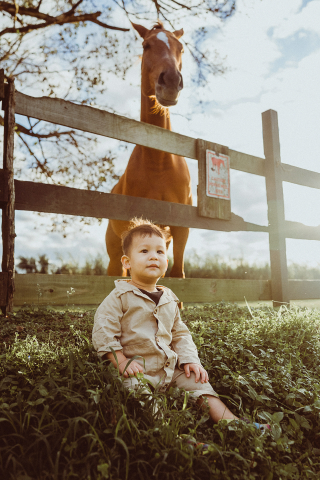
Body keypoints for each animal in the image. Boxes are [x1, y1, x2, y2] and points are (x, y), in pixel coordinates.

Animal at [107, 21, 192, 278]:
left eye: (180, 48)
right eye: (146, 45)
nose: (171, 81)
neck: (159, 162)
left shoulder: (182, 229)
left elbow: (178, 275)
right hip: (114, 253)